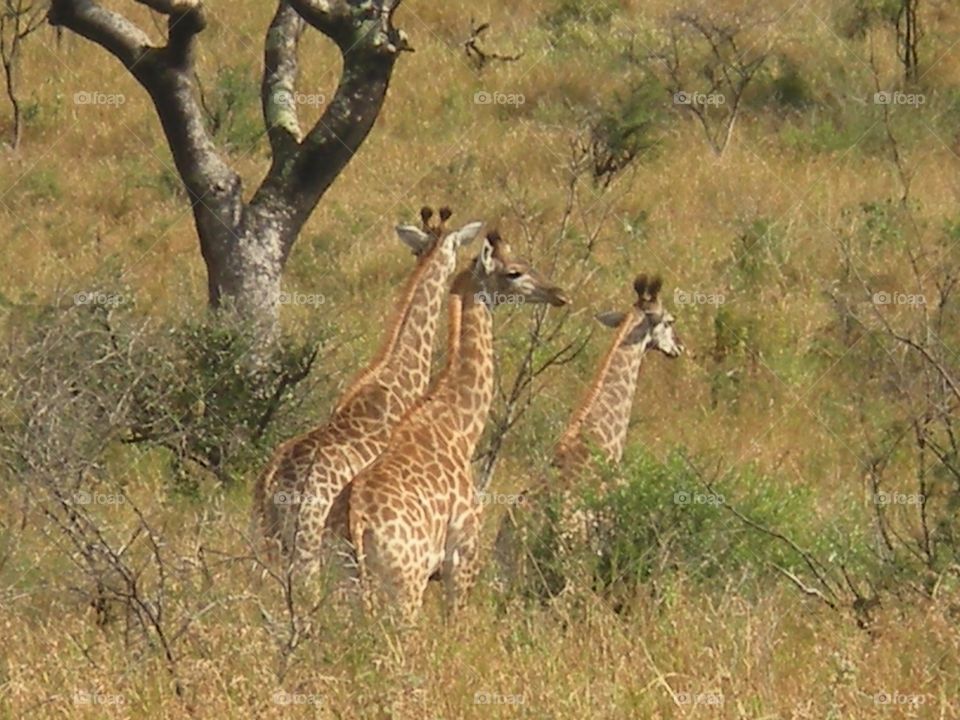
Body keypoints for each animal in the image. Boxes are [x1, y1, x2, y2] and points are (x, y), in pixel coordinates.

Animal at [334, 232, 568, 621]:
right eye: (514, 272)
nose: (559, 293)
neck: (459, 426)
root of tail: (358, 521)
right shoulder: (461, 557)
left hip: (339, 586)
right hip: (405, 587)